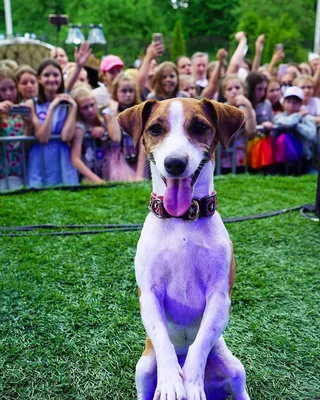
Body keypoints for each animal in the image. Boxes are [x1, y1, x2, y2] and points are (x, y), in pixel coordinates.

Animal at [117, 97, 250, 400]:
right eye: (155, 129)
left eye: (200, 127)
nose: (175, 163)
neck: (181, 223)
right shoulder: (148, 294)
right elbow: (163, 339)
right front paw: (170, 382)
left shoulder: (220, 296)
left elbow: (198, 347)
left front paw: (190, 383)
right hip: (144, 367)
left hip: (234, 367)